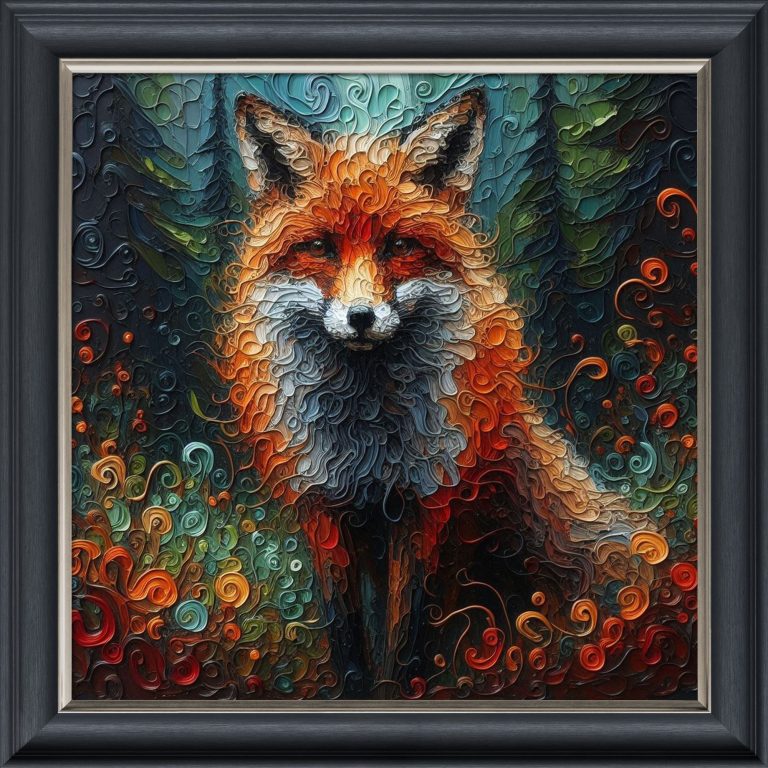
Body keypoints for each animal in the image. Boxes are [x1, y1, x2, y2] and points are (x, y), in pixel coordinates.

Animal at [217, 88, 664, 695]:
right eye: (321, 248)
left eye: (399, 245)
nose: (361, 317)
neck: (369, 435)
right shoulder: (323, 506)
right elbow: (346, 633)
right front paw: (354, 689)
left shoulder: (428, 502)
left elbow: (406, 632)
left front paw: (396, 691)